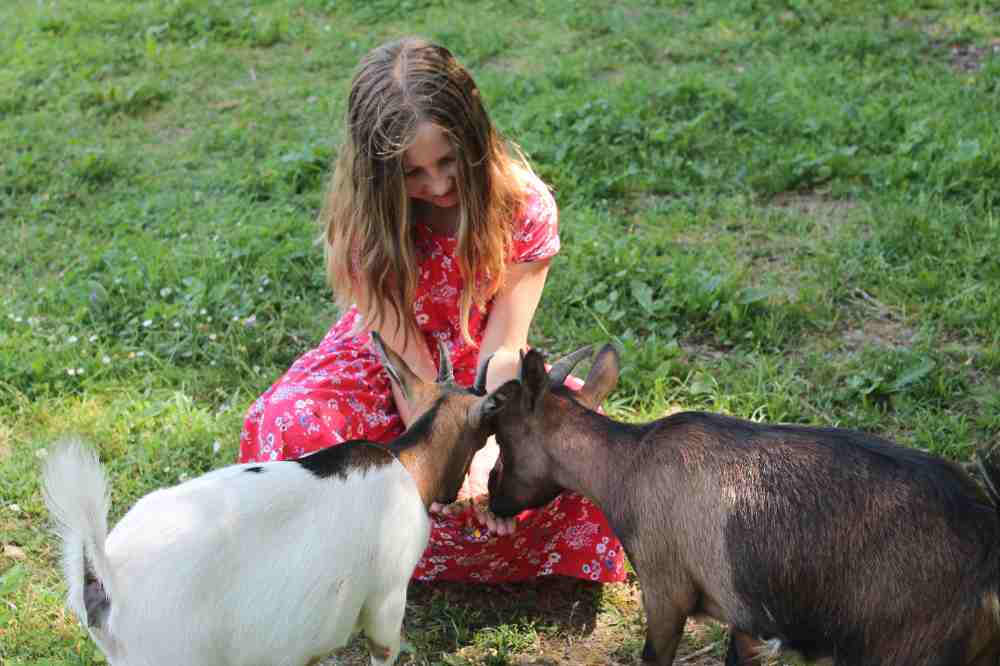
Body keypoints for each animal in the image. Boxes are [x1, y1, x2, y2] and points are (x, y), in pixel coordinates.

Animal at [488, 344, 1000, 664]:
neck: (626, 462)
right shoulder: (748, 617)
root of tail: (987, 557)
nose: (493, 499)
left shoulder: (665, 589)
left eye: (501, 441)